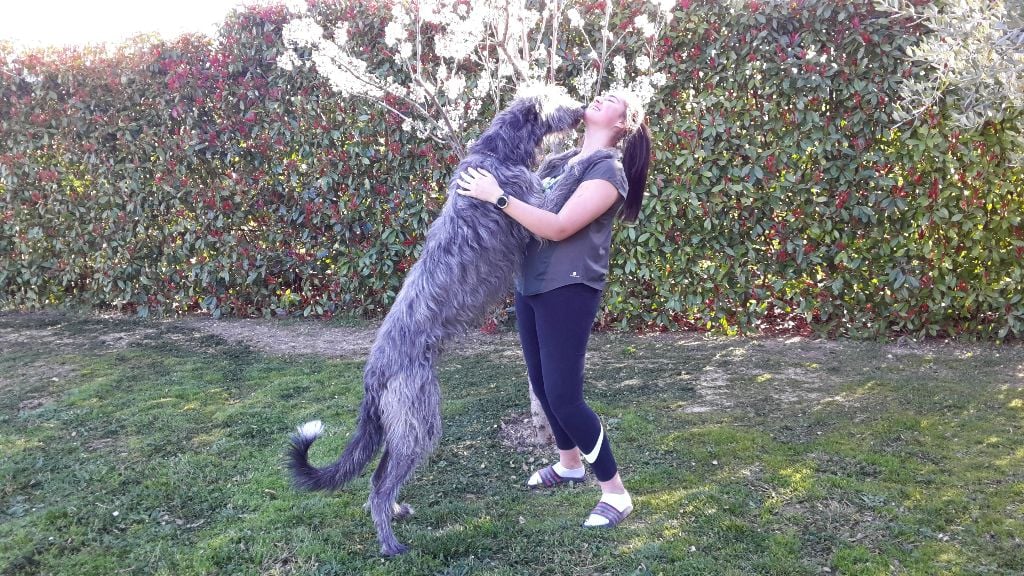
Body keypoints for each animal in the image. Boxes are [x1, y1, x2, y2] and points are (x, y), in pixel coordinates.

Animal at [288, 88, 586, 556]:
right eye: (559, 96)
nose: (582, 110)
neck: (495, 153)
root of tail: (373, 376)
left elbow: (549, 168)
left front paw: (568, 153)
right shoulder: (535, 211)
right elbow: (558, 191)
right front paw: (594, 154)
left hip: (403, 422)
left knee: (379, 477)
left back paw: (395, 512)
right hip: (419, 418)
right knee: (379, 482)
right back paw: (390, 542)